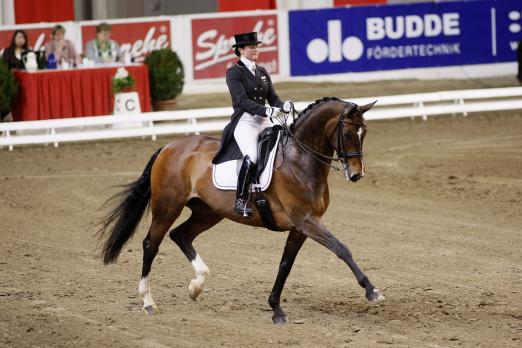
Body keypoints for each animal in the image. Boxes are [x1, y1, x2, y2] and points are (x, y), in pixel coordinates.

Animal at [97, 96, 382, 324]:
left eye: (365, 131)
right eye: (348, 133)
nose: (356, 174)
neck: (300, 160)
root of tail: (169, 147)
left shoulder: (301, 227)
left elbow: (285, 264)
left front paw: (276, 308)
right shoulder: (306, 221)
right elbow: (341, 248)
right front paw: (372, 291)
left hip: (208, 212)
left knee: (181, 235)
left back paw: (196, 286)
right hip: (168, 206)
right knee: (151, 244)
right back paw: (148, 302)